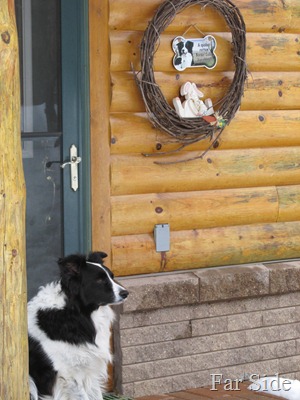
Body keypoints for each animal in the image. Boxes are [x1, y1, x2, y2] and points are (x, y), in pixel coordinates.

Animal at [26, 252, 127, 400]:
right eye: (99, 280)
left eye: (112, 277)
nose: (126, 293)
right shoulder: (68, 375)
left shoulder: (89, 369)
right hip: (31, 382)